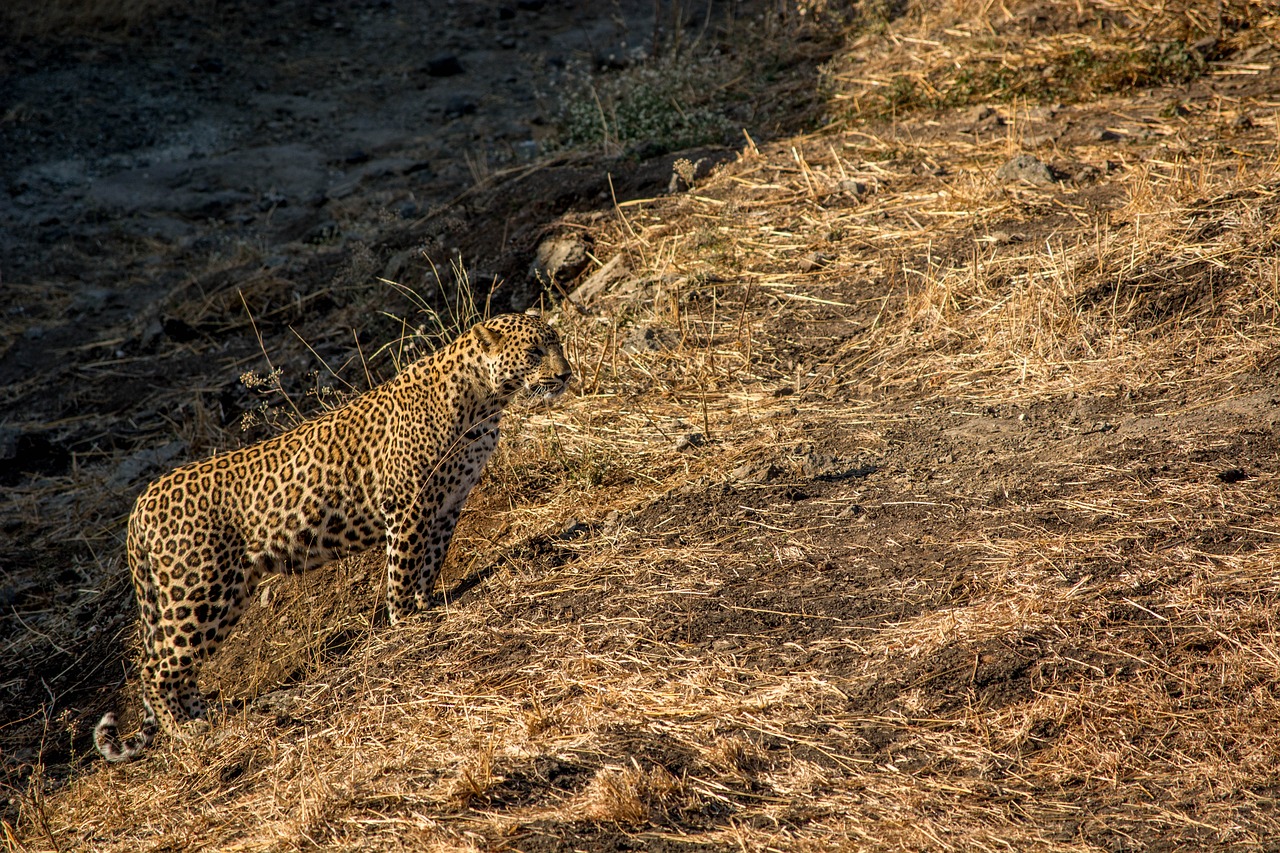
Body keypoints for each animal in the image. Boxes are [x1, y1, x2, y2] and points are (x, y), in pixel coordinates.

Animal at [98, 311, 576, 758]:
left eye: (558, 344)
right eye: (534, 352)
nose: (566, 374)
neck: (485, 400)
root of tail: (140, 504)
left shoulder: (447, 503)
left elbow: (430, 560)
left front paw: (427, 605)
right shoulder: (407, 506)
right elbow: (404, 567)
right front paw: (405, 620)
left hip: (226, 591)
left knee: (180, 668)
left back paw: (208, 716)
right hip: (199, 590)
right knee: (157, 670)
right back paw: (186, 732)